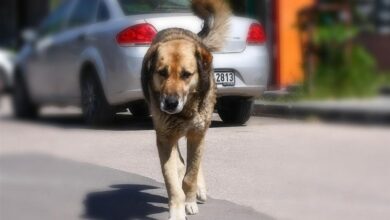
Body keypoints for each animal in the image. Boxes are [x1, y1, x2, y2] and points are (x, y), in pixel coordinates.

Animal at [141, 0, 230, 219]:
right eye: (162, 73)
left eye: (186, 74)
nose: (170, 103)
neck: (185, 112)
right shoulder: (164, 138)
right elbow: (172, 181)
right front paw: (177, 210)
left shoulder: (197, 135)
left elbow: (191, 174)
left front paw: (190, 200)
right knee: (181, 162)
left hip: (198, 133)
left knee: (194, 165)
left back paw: (199, 188)